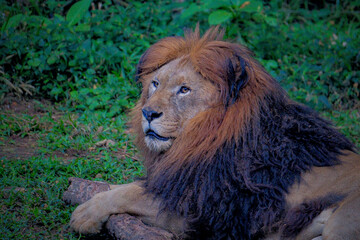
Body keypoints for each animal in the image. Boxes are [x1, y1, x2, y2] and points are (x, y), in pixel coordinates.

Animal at [70, 27, 360, 239]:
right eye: (155, 84)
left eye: (184, 90)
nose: (148, 113)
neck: (199, 138)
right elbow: (125, 185)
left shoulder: (200, 209)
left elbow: (129, 192)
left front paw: (85, 214)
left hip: (340, 223)